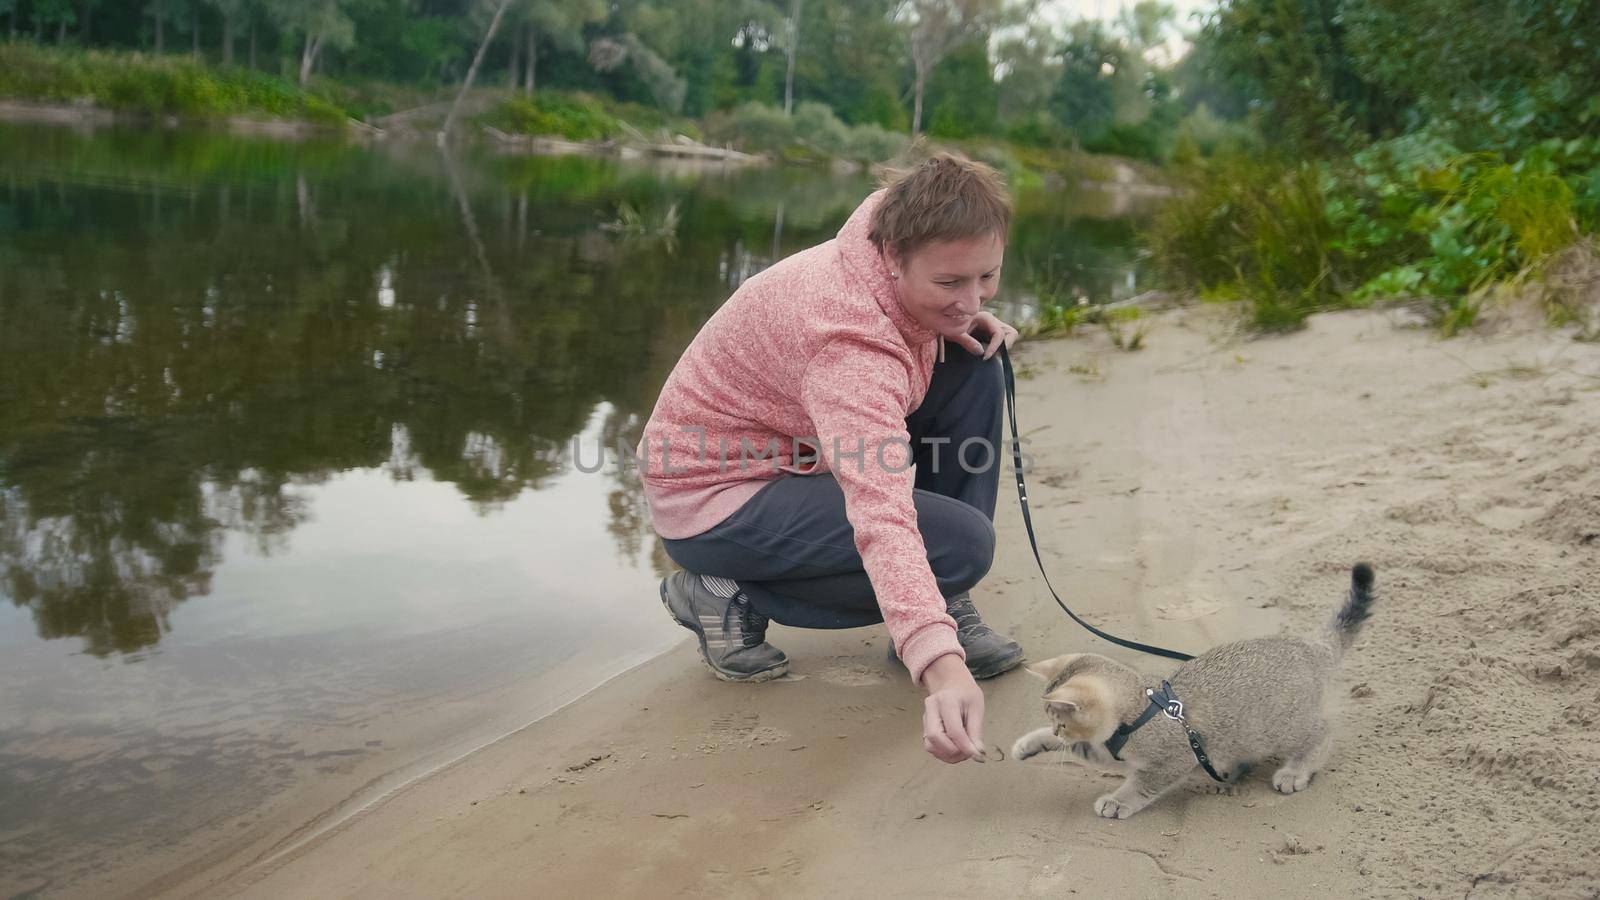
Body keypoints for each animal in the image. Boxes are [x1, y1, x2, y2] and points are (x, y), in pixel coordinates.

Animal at [1011, 563, 1376, 816]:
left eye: (1062, 721)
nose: (1056, 731)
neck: (1140, 710)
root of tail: (1307, 647)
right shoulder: (1105, 749)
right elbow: (1081, 749)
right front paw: (1030, 743)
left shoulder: (1169, 761)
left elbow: (1141, 785)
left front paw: (1117, 801)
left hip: (1280, 726)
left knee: (1322, 732)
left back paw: (1295, 771)